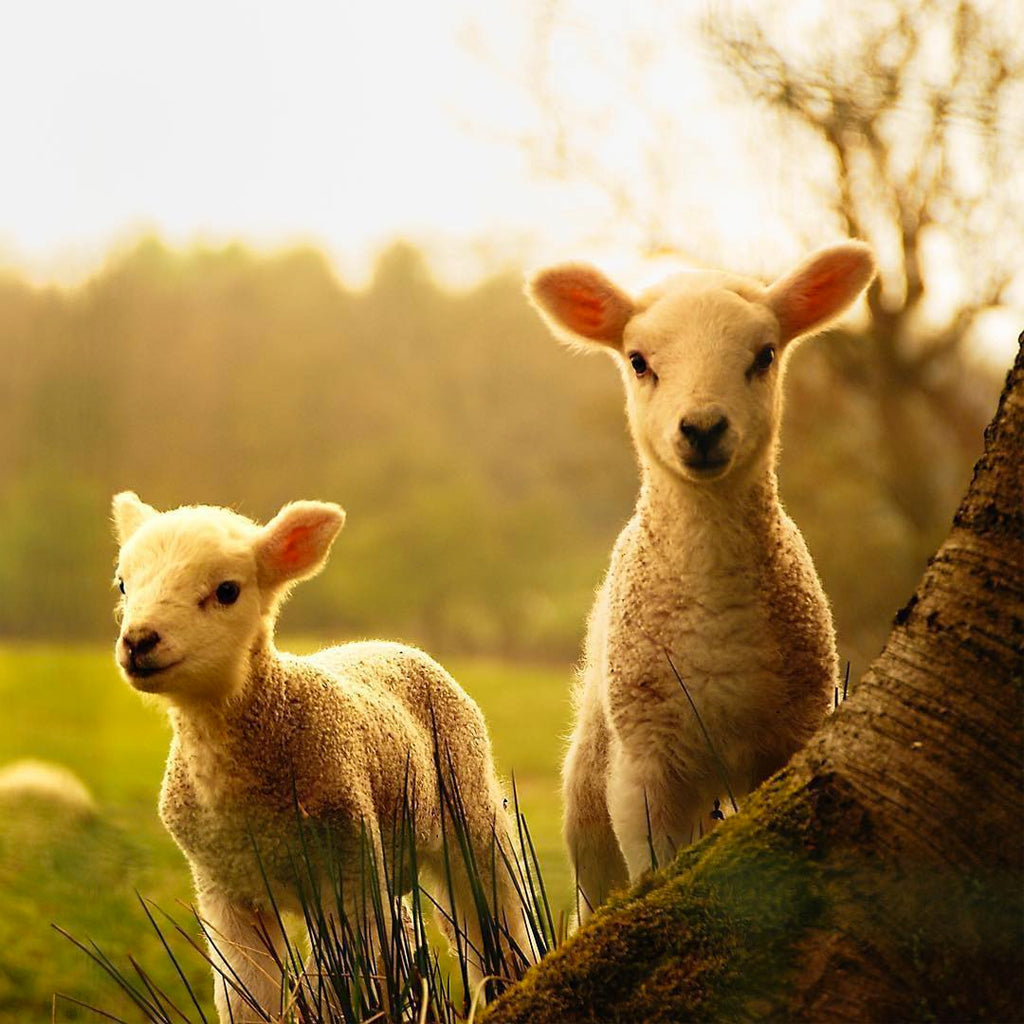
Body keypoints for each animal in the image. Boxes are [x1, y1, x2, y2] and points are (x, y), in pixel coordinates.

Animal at [111, 491, 528, 1019]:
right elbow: (246, 997)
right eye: (123, 584)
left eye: (227, 591)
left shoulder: (346, 872)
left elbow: (336, 990)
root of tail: (391, 643)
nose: (138, 642)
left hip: (468, 805)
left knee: (495, 916)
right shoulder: (226, 891)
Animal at [532, 239, 876, 921]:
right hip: (590, 783)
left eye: (764, 355)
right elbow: (652, 871)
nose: (703, 428)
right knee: (594, 887)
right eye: (638, 361)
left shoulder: (788, 738)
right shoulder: (646, 765)